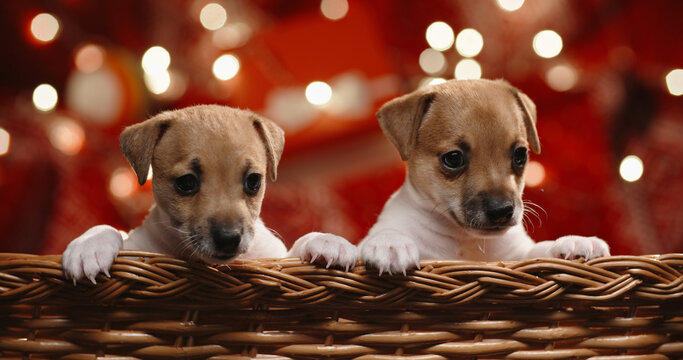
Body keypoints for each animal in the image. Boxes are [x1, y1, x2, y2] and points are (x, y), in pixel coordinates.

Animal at [62, 105, 288, 282]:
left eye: (253, 181)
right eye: (186, 182)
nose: (229, 239)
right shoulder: (138, 249)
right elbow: (112, 229)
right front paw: (88, 246)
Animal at [292, 80, 612, 274]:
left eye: (520, 155)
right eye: (454, 158)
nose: (502, 210)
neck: (464, 240)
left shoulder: (516, 255)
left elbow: (540, 250)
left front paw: (574, 242)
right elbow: (376, 240)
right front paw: (390, 244)